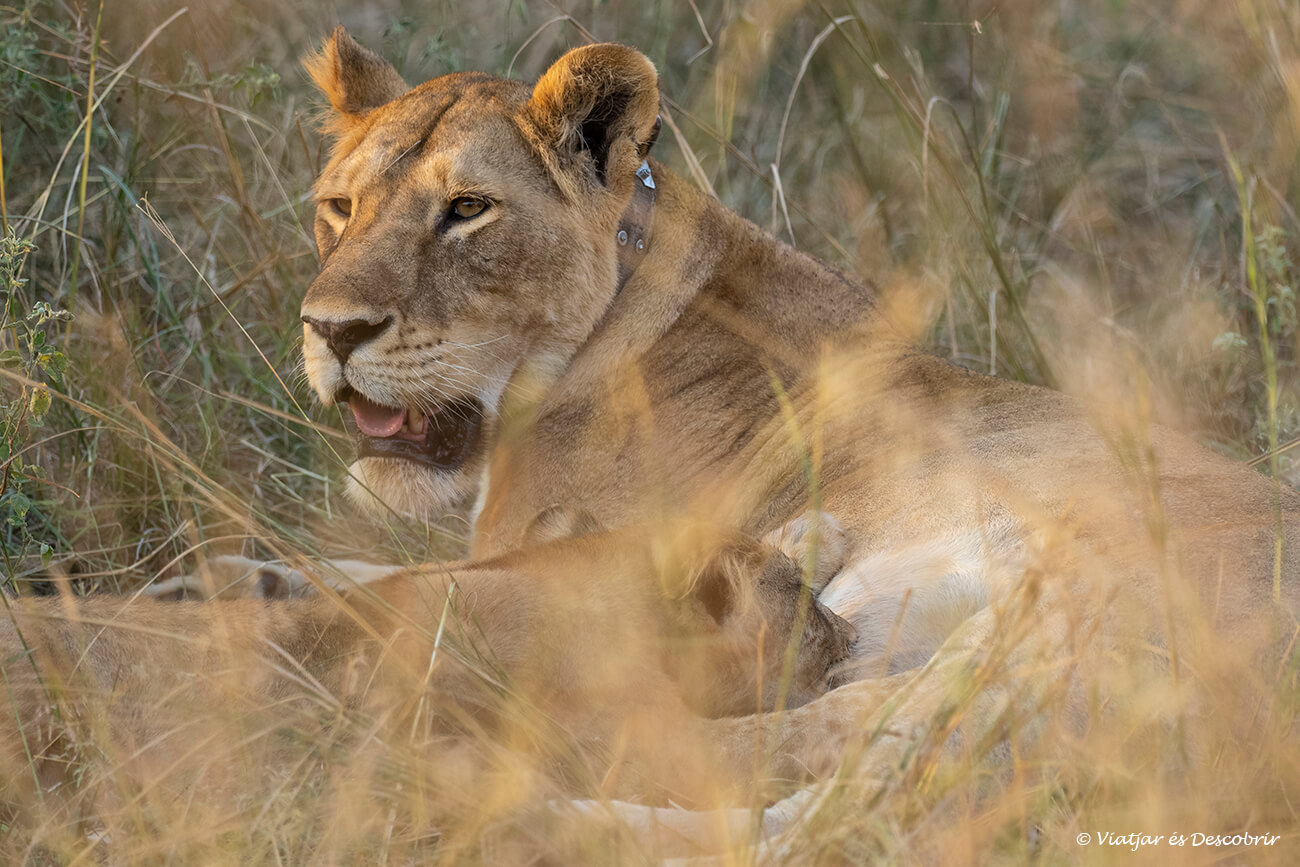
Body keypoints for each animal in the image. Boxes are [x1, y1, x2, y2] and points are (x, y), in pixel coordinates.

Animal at [291, 27, 1300, 834]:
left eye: (468, 209)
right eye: (339, 207)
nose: (332, 330)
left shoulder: (581, 555)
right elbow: (346, 567)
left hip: (1059, 620)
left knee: (807, 778)